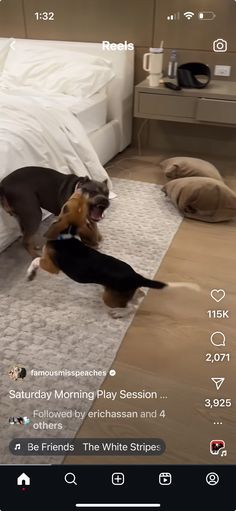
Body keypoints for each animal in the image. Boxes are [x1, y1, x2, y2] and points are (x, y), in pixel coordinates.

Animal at [26, 192, 199, 318]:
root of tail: (136, 277)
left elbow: (36, 260)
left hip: (109, 298)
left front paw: (30, 274)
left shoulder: (52, 267)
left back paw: (119, 313)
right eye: (77, 202)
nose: (82, 192)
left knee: (131, 306)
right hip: (121, 292)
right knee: (139, 295)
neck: (66, 235)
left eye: (68, 203)